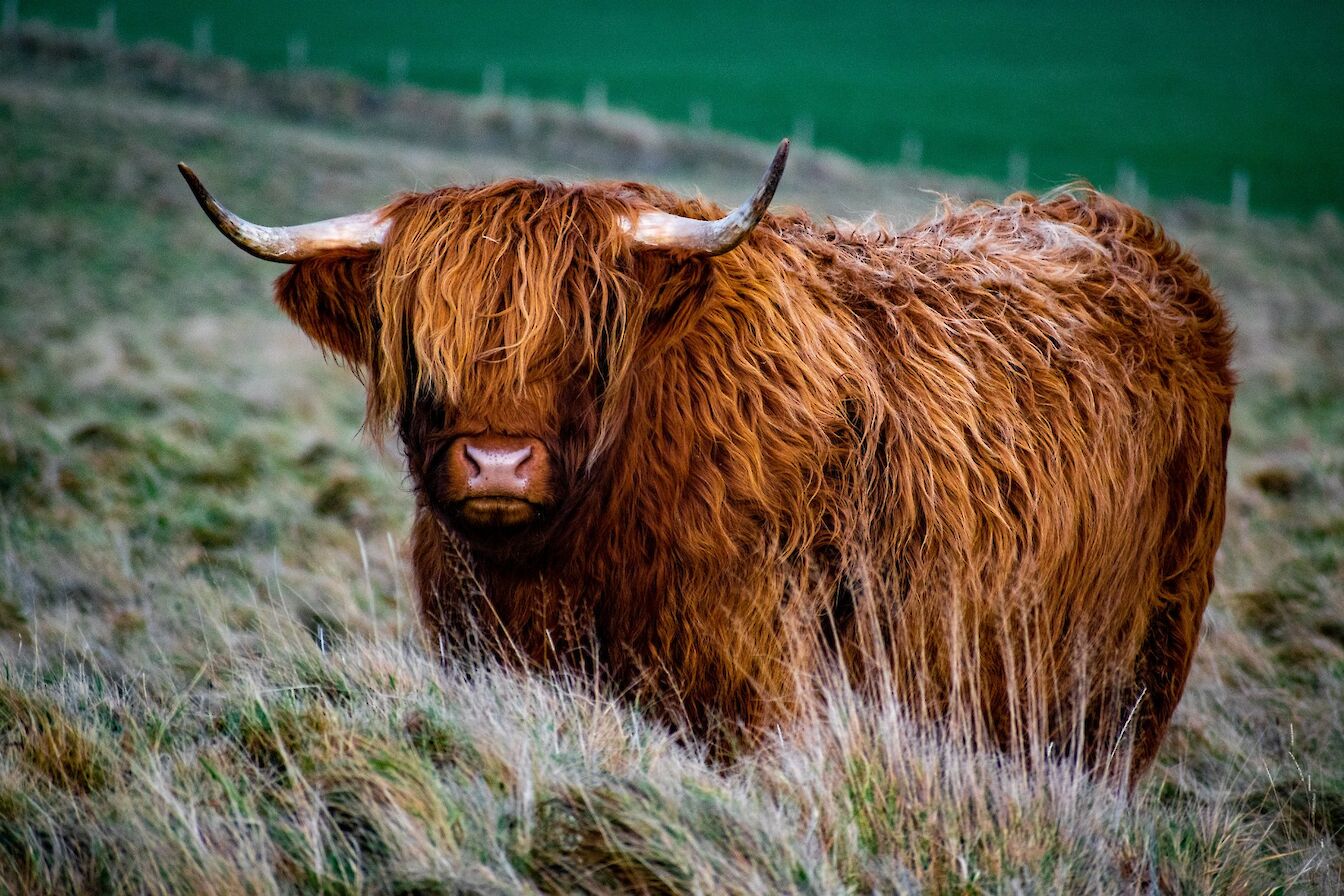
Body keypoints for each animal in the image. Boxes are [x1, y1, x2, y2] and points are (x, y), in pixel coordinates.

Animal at [184, 140, 1231, 779]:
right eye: (416, 343)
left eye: (589, 342)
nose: (496, 465)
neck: (573, 562)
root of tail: (1105, 225)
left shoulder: (756, 686)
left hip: (1140, 669)